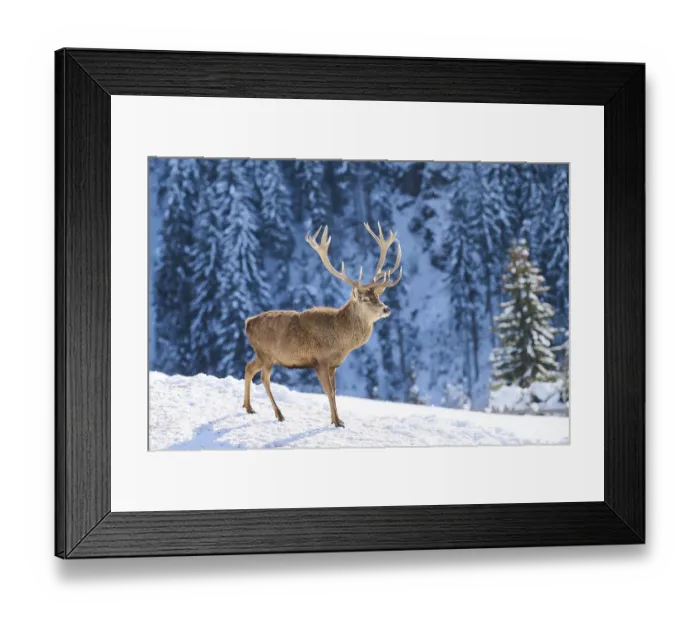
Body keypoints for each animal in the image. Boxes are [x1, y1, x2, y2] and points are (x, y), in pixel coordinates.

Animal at [242, 222, 402, 428]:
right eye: (366, 299)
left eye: (378, 296)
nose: (386, 308)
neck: (342, 341)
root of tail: (247, 323)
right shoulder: (320, 361)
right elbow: (328, 392)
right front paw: (336, 422)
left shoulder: (334, 365)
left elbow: (334, 392)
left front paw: (338, 419)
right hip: (267, 353)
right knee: (264, 377)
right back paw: (278, 413)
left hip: (262, 354)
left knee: (249, 367)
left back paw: (248, 407)